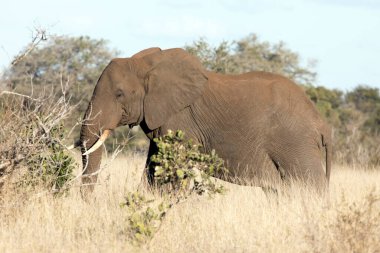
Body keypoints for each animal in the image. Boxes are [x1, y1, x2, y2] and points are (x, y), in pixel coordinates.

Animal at [78, 47, 332, 194]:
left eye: (119, 94)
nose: (89, 203)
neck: (146, 63)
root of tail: (323, 125)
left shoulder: (181, 120)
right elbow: (154, 168)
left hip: (295, 142)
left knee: (309, 188)